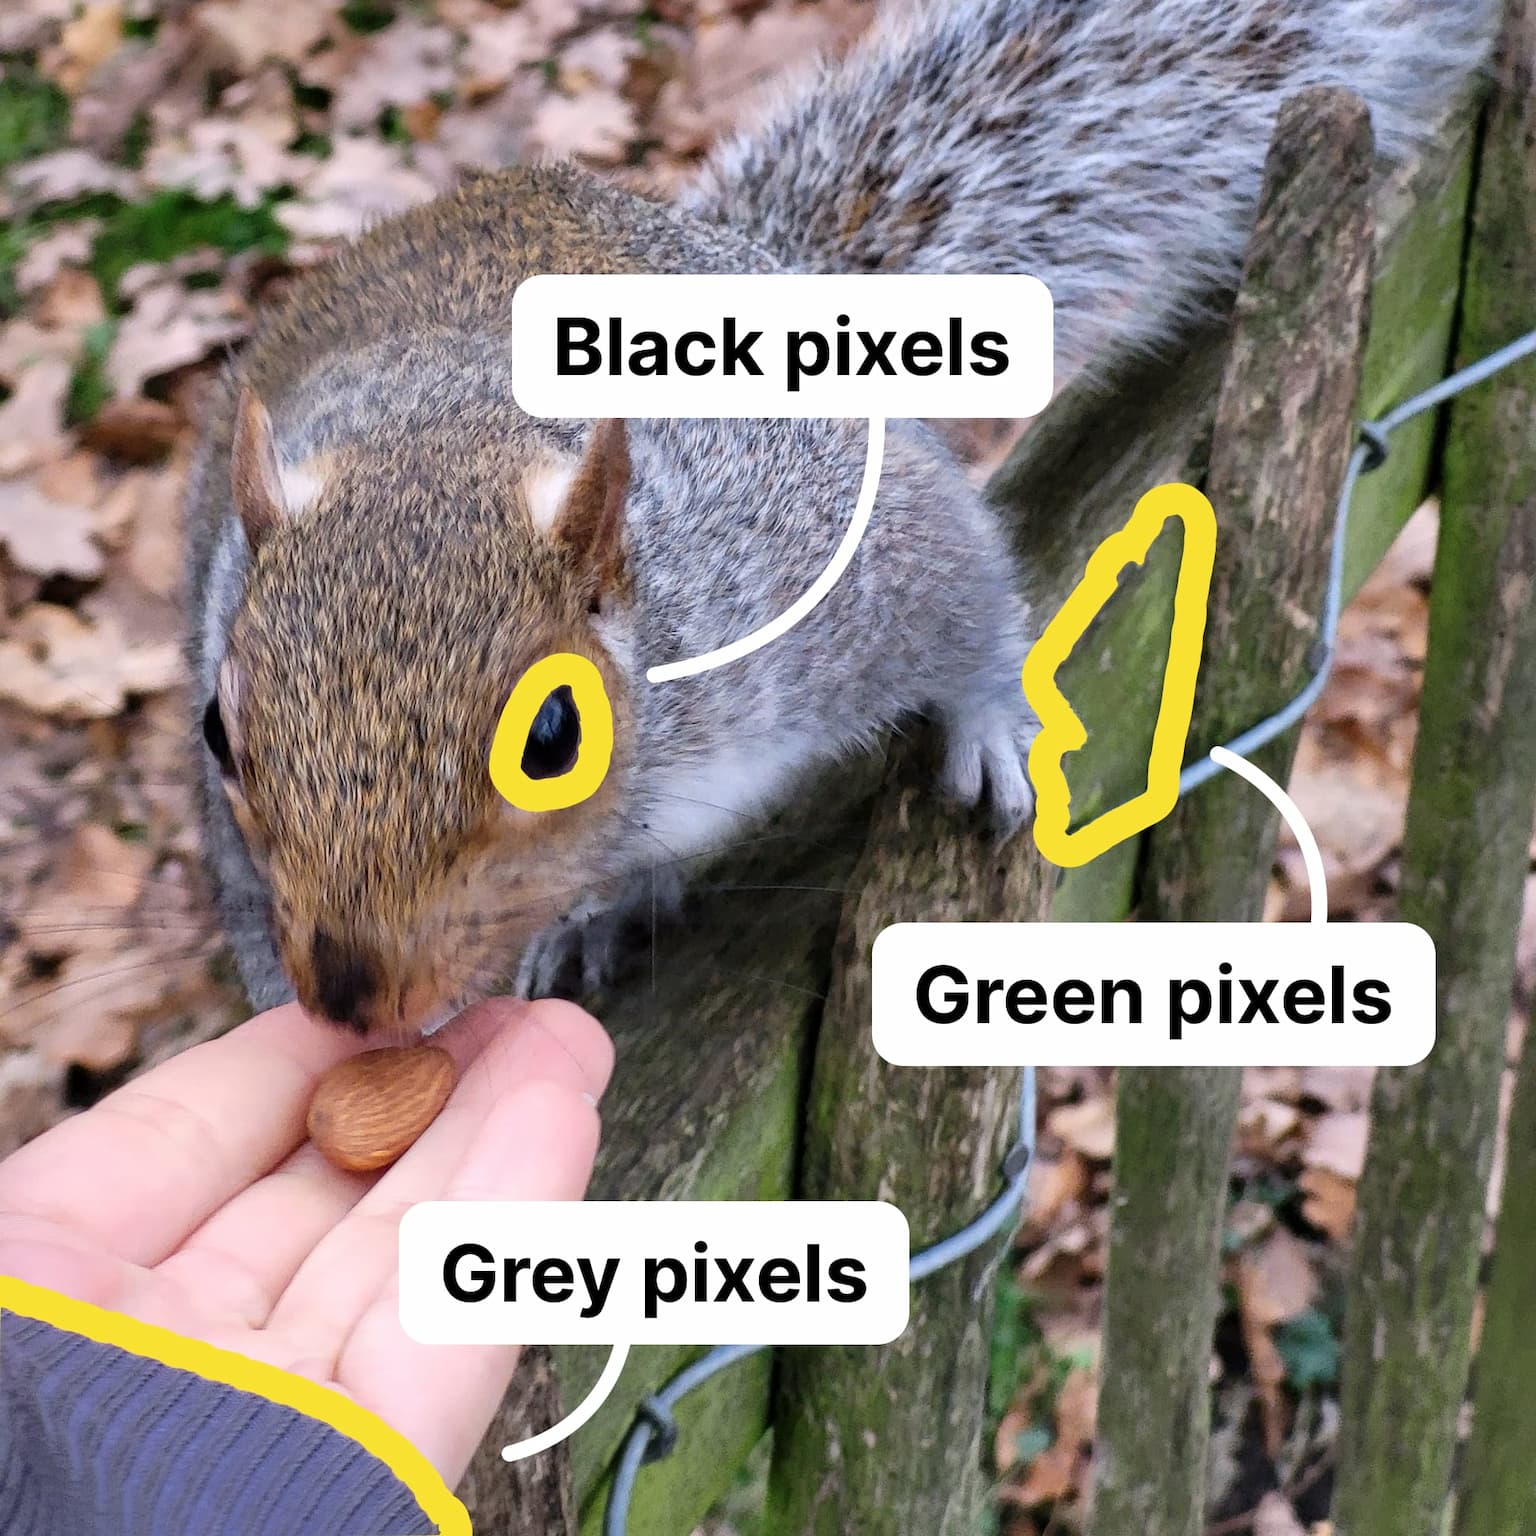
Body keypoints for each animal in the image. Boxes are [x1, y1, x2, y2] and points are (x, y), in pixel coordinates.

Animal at [185, 0, 1493, 1036]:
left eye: (553, 736)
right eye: (215, 733)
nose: (348, 999)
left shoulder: (827, 556)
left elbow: (961, 585)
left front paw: (988, 729)